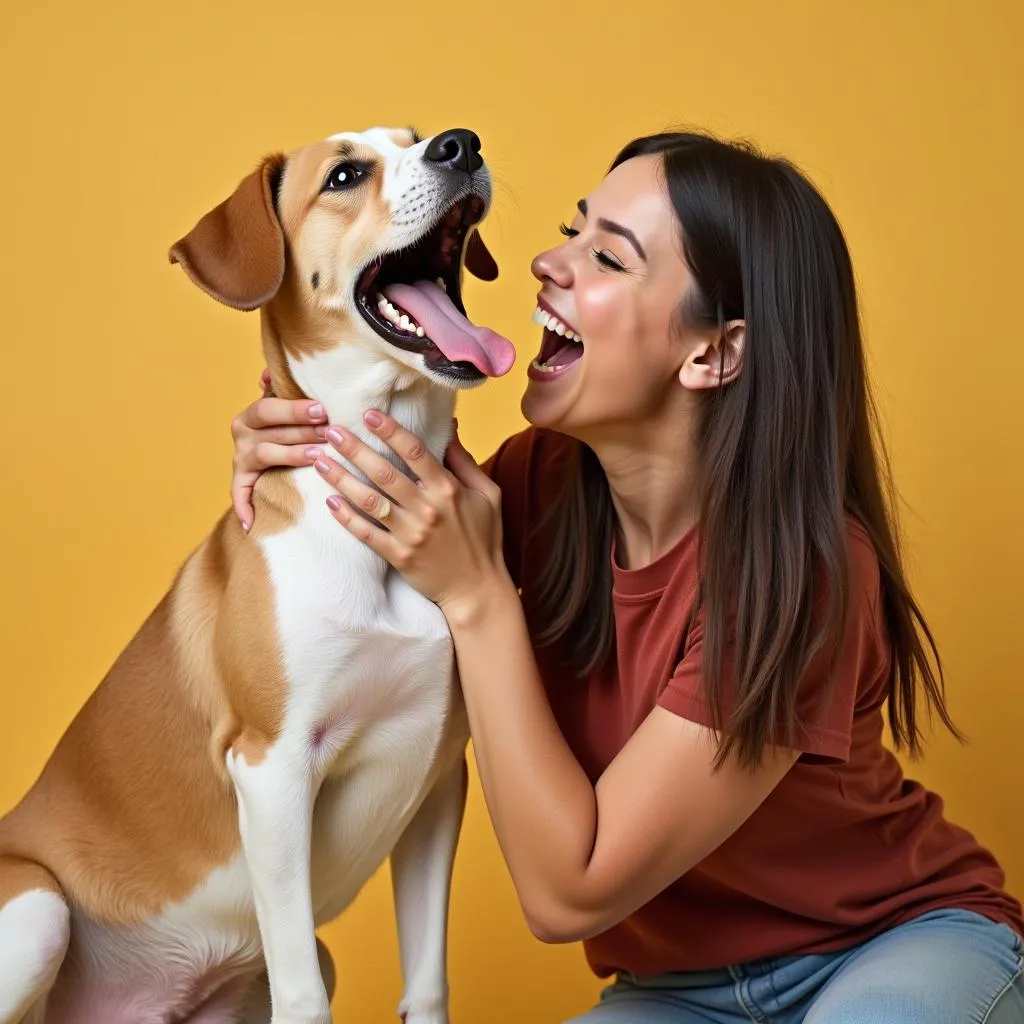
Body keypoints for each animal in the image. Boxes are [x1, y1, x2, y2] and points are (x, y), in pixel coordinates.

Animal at [0, 125, 512, 1024]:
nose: (461, 145)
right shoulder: (272, 771)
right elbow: (301, 998)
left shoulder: (435, 781)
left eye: (417, 140)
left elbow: (426, 983)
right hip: (34, 909)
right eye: (345, 175)